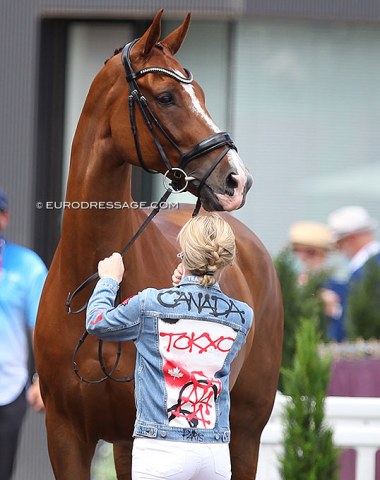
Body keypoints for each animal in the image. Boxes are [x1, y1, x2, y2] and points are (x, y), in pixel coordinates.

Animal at [35, 9, 282, 478]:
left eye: (200, 93)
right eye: (167, 97)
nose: (237, 180)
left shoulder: (137, 437)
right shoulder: (65, 436)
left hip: (244, 433)